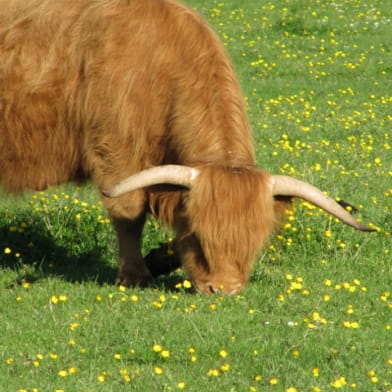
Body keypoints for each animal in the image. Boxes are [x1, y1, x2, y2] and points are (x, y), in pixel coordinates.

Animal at [0, 0, 374, 294]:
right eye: (198, 236)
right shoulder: (114, 149)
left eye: (256, 241)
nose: (224, 290)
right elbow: (128, 212)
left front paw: (157, 259)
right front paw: (135, 275)